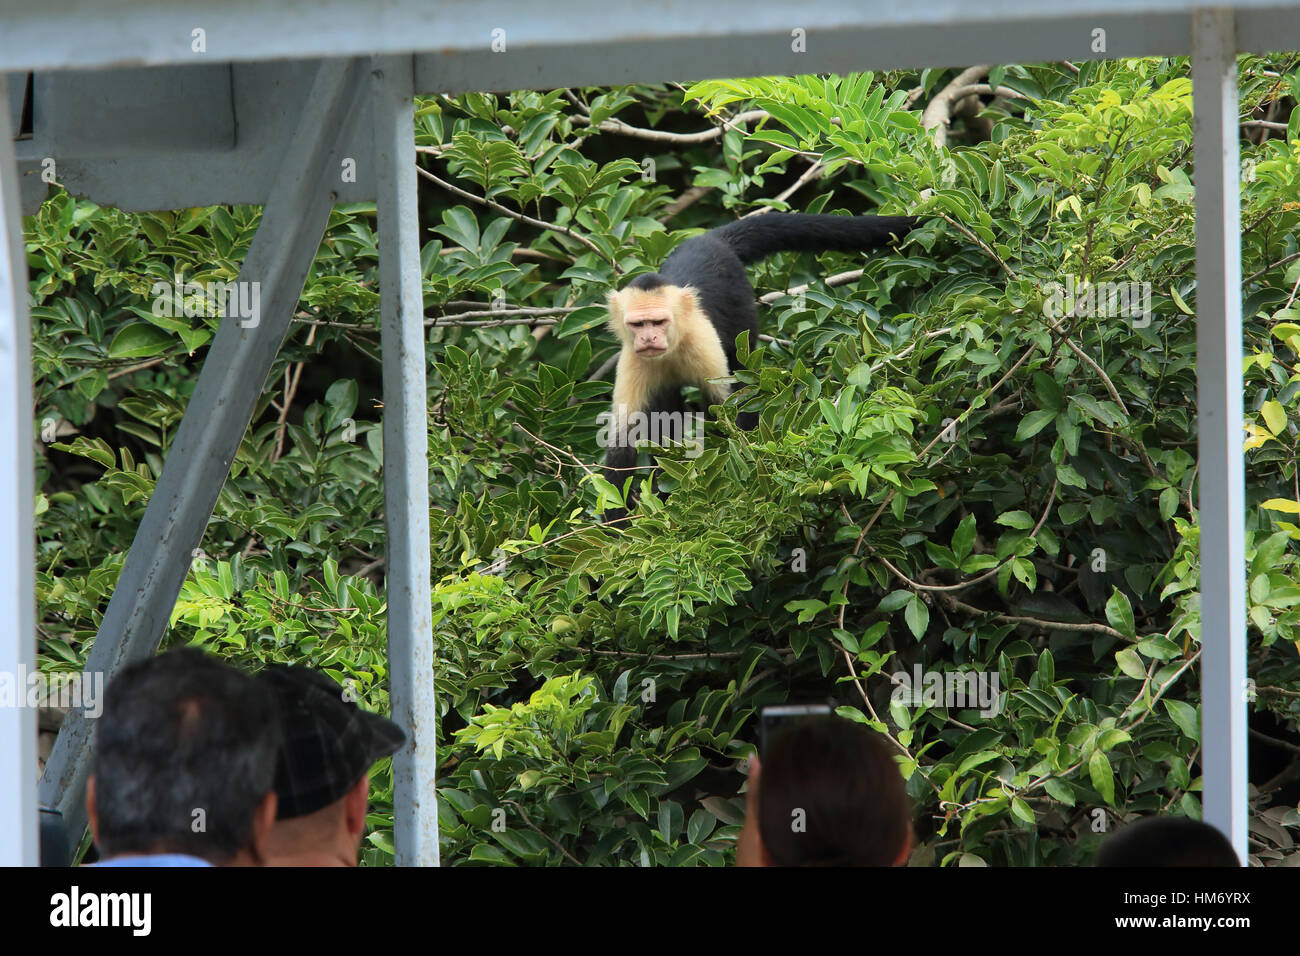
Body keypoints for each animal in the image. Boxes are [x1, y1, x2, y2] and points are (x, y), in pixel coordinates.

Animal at [598, 214, 915, 520]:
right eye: (638, 325)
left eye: (658, 322)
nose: (648, 338)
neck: (672, 349)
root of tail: (711, 239)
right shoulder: (634, 359)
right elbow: (622, 440)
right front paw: (615, 522)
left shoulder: (701, 342)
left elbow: (732, 411)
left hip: (741, 302)